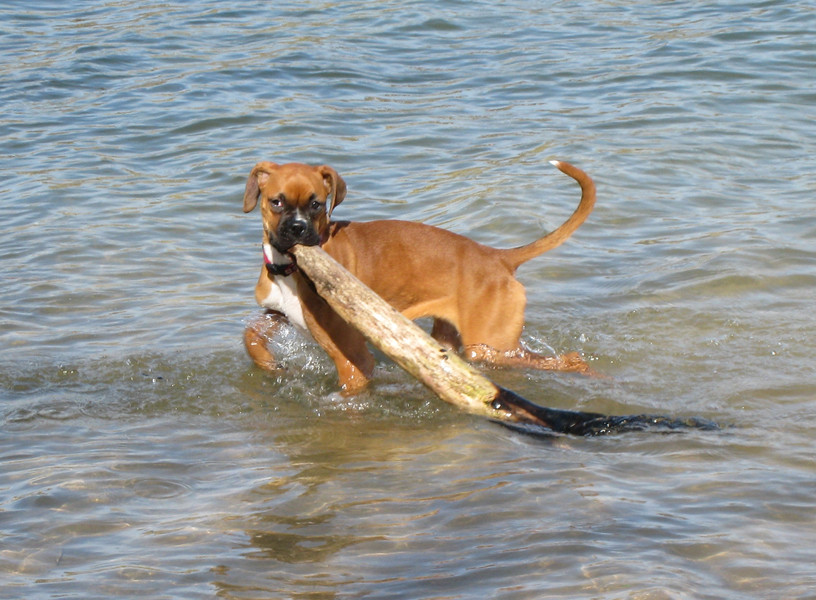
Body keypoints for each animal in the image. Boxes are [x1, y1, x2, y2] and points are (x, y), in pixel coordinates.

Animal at [241, 159, 592, 394]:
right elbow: (251, 334)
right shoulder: (278, 312)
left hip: (491, 347)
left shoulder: (353, 358)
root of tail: (498, 256)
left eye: (316, 204)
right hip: (456, 342)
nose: (297, 229)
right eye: (276, 202)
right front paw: (268, 363)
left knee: (571, 360)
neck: (289, 267)